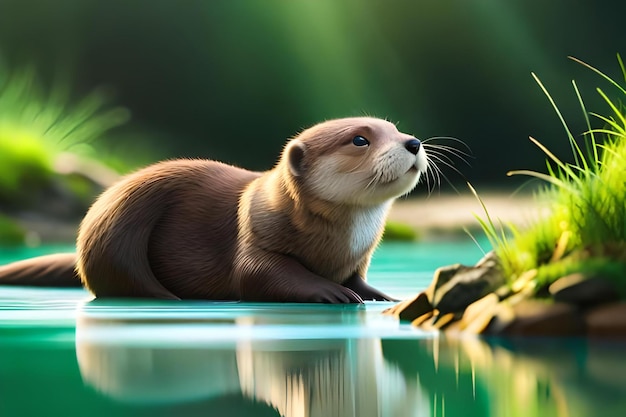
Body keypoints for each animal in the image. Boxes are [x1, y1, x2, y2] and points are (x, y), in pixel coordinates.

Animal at [0, 117, 426, 302]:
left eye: (395, 128)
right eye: (360, 140)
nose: (413, 142)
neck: (340, 243)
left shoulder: (359, 259)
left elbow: (358, 279)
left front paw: (382, 295)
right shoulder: (256, 232)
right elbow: (261, 274)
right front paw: (330, 291)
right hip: (117, 231)